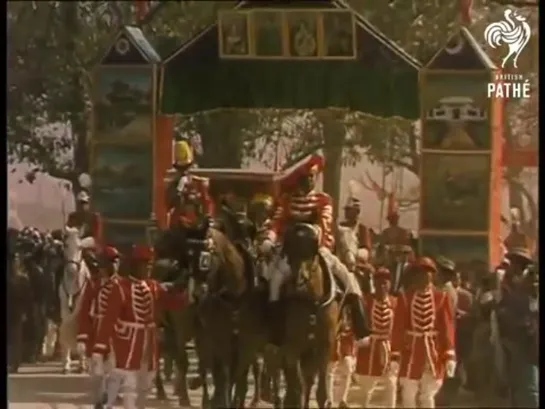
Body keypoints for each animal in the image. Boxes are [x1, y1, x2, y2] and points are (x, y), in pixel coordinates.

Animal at [276, 223, 340, 408]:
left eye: (311, 252)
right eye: (290, 251)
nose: (299, 280)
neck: (312, 302)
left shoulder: (325, 346)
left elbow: (321, 393)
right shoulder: (292, 347)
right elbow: (297, 389)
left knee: (308, 380)